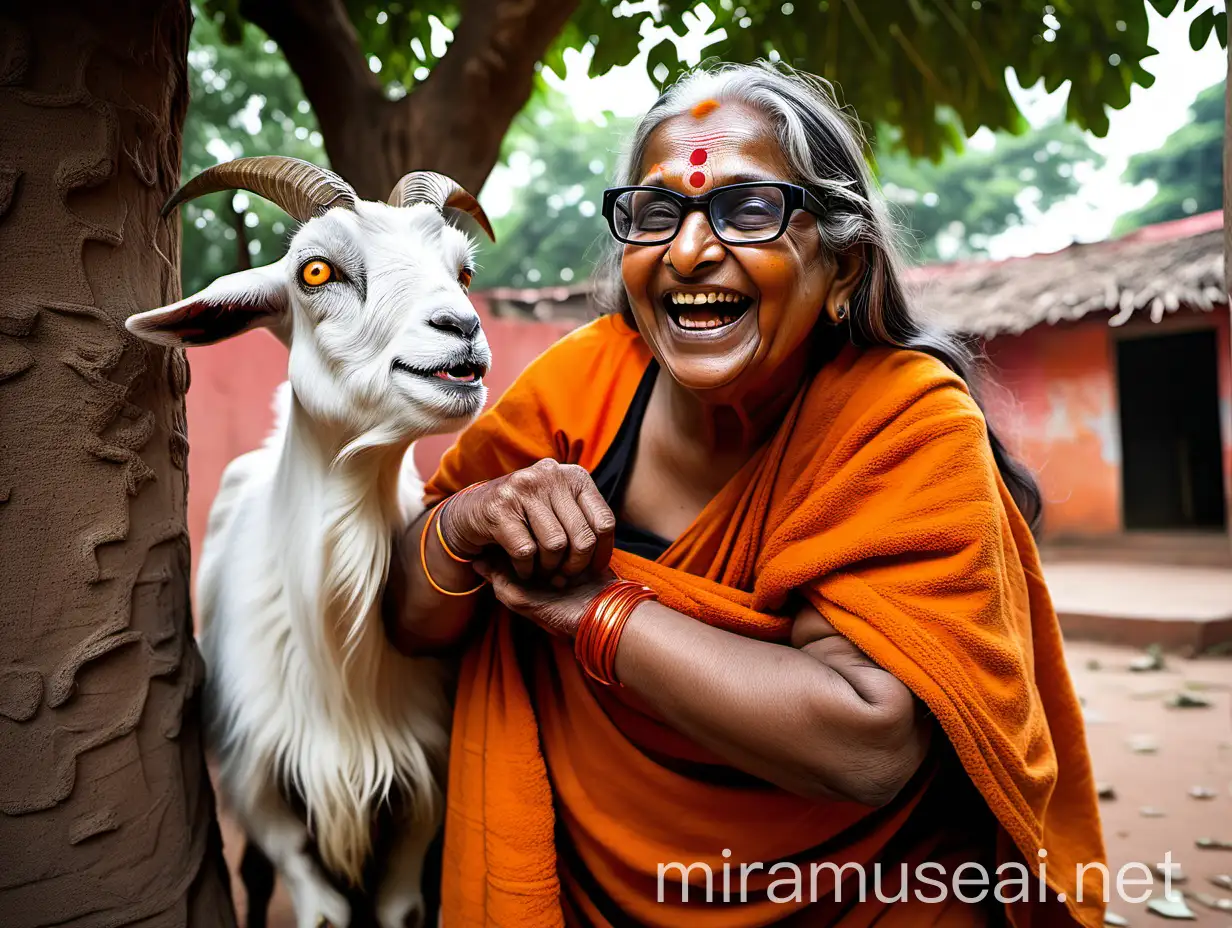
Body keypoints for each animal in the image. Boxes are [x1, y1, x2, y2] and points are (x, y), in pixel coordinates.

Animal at [123, 158, 490, 926]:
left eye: (464, 272)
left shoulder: (422, 784)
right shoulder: (258, 778)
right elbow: (317, 904)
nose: (463, 328)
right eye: (316, 271)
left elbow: (400, 905)